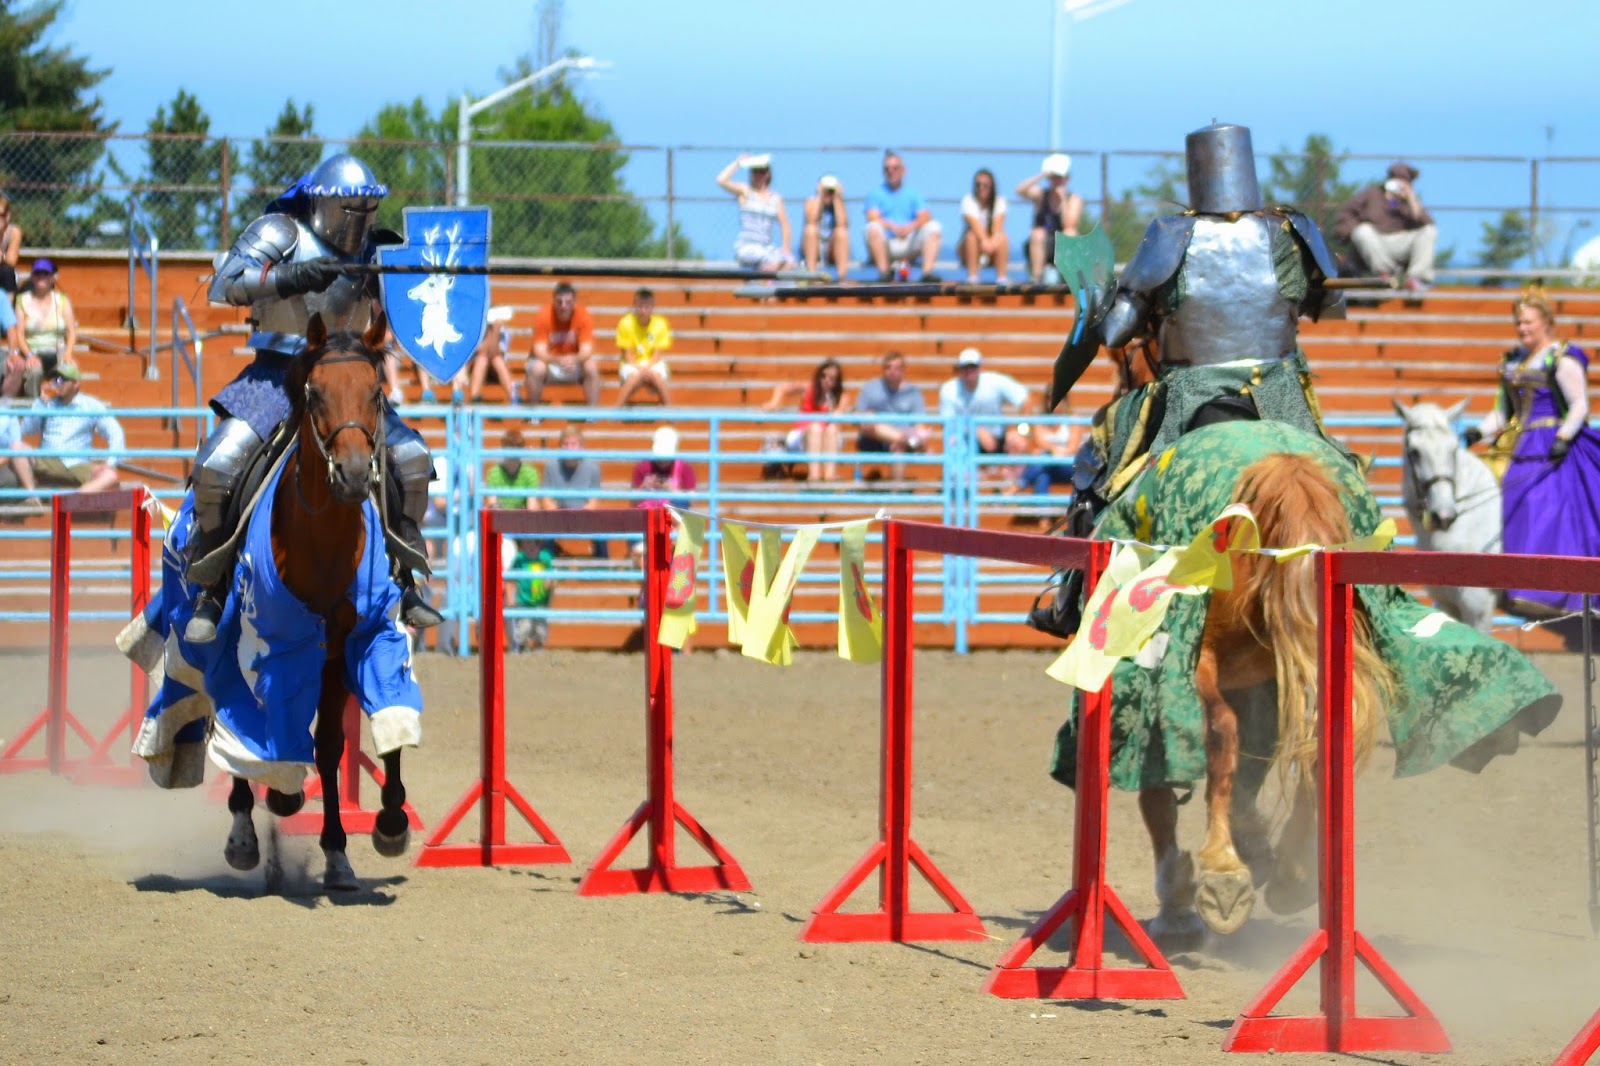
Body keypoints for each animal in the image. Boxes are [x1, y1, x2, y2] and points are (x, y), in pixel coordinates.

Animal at [221, 310, 414, 891]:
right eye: (315, 393)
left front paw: (364, 836)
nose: (351, 474)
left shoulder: (354, 643)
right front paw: (280, 802)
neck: (323, 540)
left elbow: (335, 744)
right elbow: (258, 731)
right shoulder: (270, 646)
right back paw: (245, 832)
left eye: (376, 393)